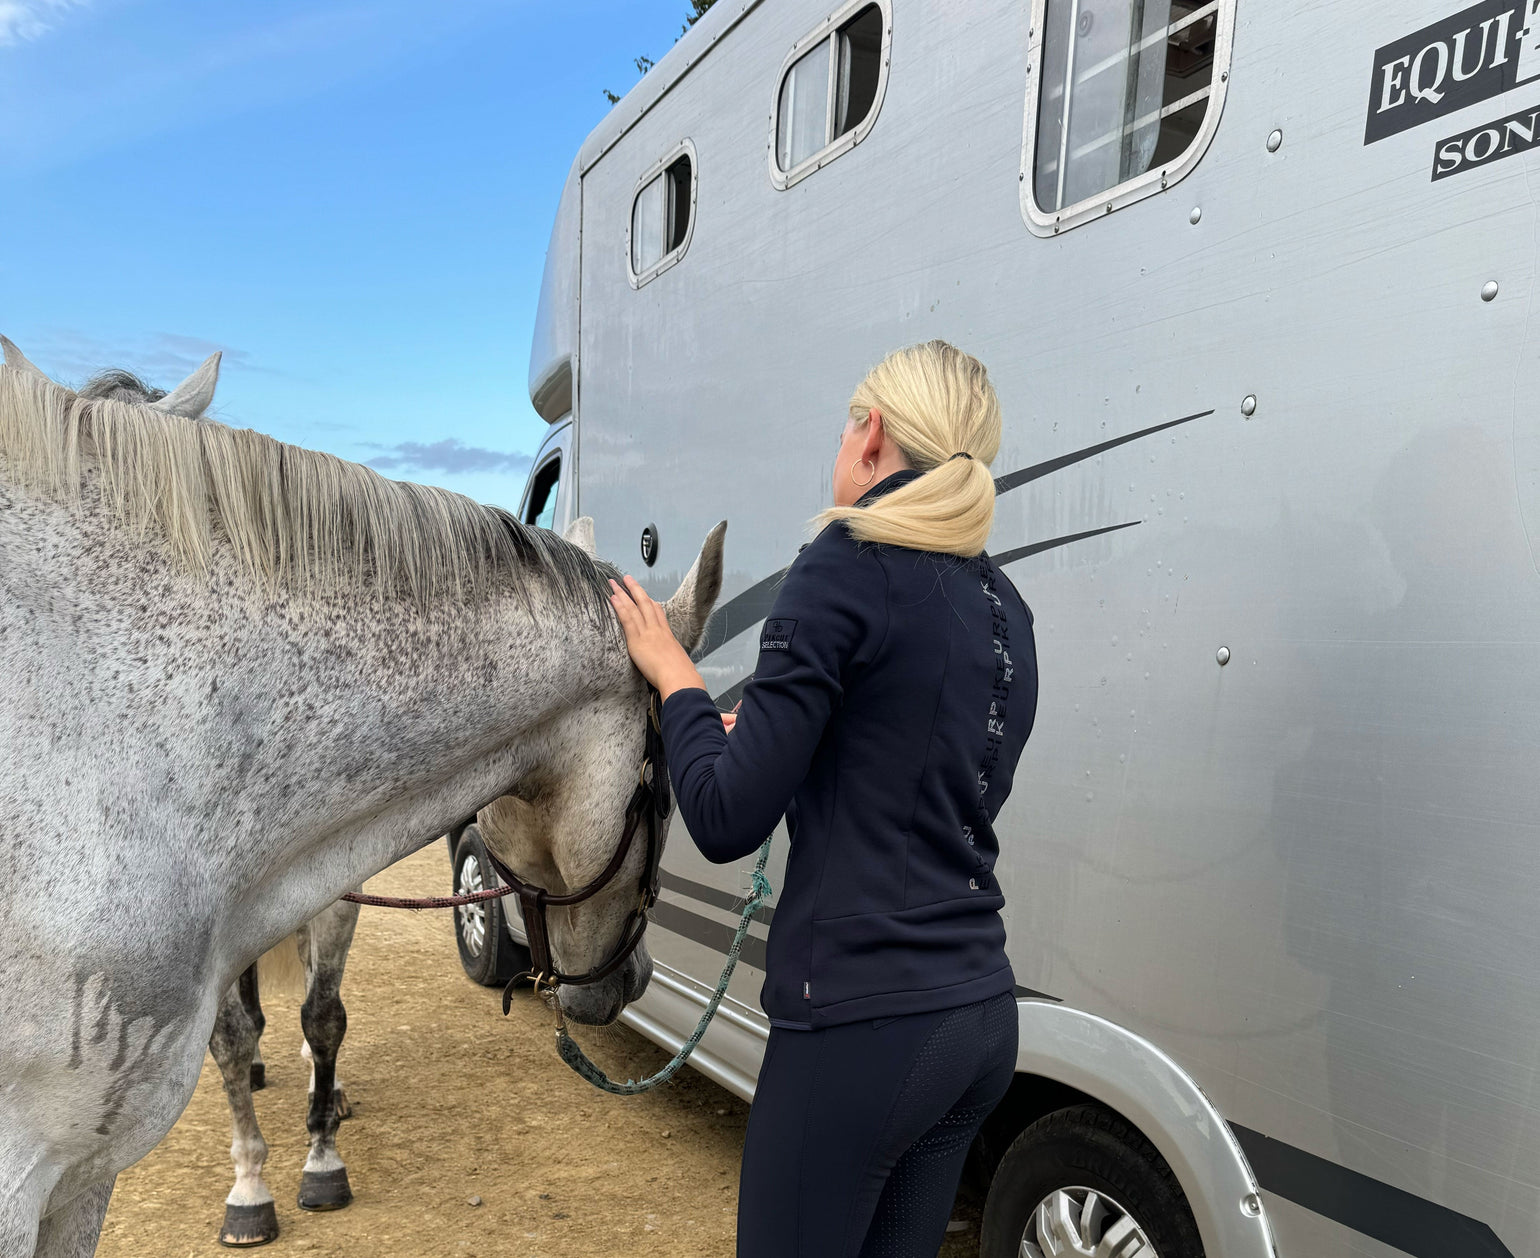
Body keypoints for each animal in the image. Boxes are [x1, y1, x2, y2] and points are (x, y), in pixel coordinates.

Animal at [0, 338, 725, 1258]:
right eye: (664, 796)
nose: (634, 977)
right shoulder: (33, 1173)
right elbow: (236, 1037)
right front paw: (252, 1184)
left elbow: (325, 1017)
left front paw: (321, 1153)